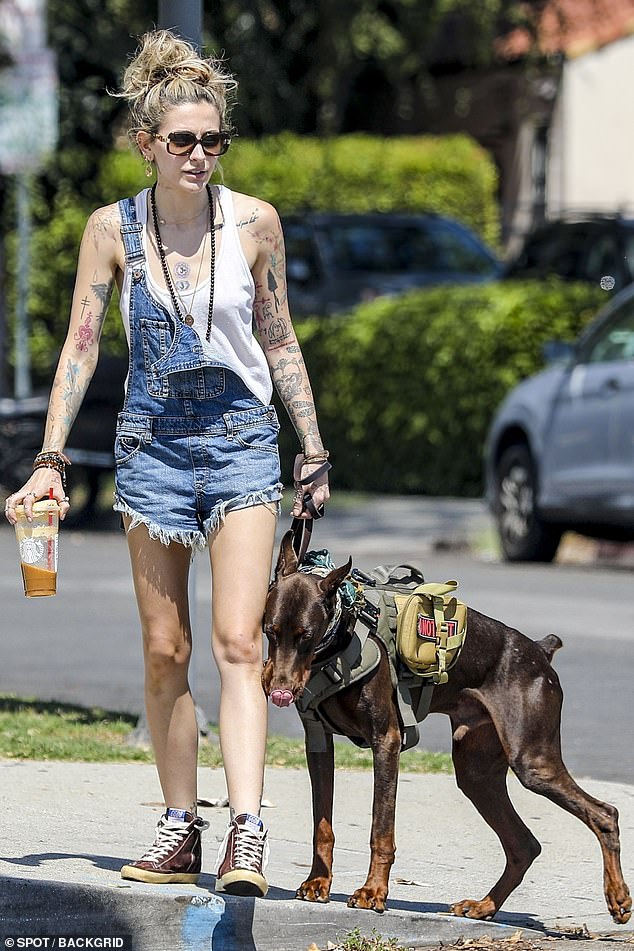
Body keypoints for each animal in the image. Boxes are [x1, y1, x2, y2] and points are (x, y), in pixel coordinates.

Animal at [260, 528, 628, 924]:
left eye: (306, 635)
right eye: (270, 631)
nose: (279, 689)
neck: (338, 642)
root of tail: (540, 652)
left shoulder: (386, 740)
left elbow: (381, 830)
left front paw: (373, 892)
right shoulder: (318, 741)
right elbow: (322, 824)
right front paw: (318, 882)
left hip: (532, 760)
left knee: (604, 813)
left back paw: (618, 897)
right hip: (475, 770)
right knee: (524, 844)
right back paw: (484, 906)